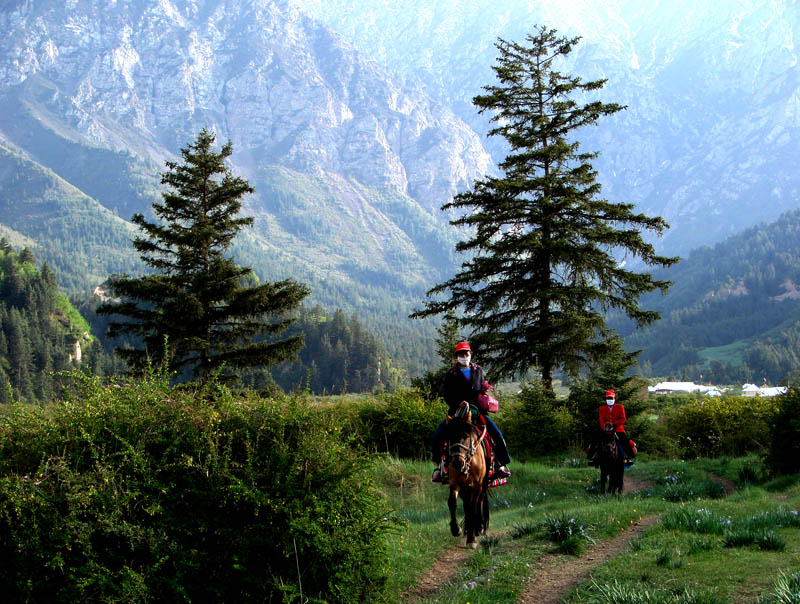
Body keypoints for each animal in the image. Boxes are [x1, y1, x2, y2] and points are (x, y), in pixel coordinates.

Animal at [444, 406, 488, 548]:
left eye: (466, 436)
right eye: (449, 436)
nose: (458, 463)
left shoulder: (476, 486)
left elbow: (472, 508)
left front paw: (472, 539)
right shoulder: (455, 483)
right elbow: (452, 502)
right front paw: (456, 529)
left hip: (483, 486)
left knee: (479, 503)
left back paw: (478, 528)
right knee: (466, 505)